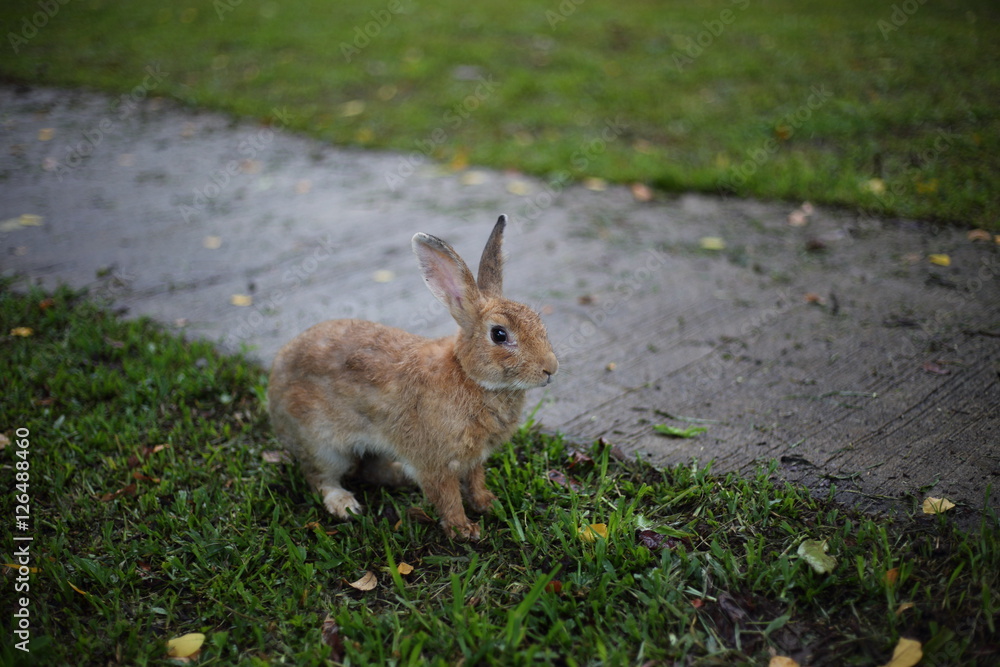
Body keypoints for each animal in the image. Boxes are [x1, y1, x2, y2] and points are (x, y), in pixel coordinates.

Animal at [267, 215, 558, 540]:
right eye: (499, 334)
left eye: (538, 322)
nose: (550, 368)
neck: (468, 375)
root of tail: (275, 380)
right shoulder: (435, 461)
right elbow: (447, 495)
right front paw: (464, 529)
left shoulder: (474, 458)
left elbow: (475, 479)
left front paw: (487, 503)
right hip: (322, 445)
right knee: (320, 477)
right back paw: (345, 505)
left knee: (369, 469)